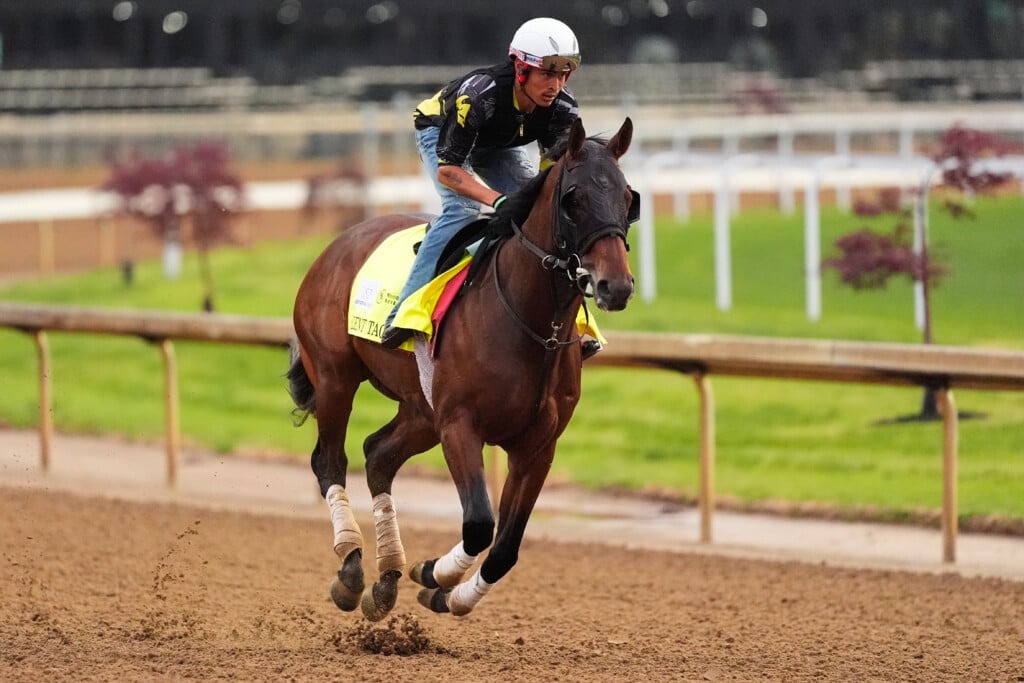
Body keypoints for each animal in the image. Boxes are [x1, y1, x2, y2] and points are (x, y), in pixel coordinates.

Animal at [287, 117, 638, 620]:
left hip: (420, 409)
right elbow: (478, 524)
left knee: (378, 454)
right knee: (330, 461)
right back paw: (352, 569)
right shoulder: (459, 425)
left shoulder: (538, 445)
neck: (531, 325)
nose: (616, 286)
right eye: (574, 200)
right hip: (336, 377)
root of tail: (336, 245)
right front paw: (434, 574)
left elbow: (506, 545)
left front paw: (444, 590)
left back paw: (387, 576)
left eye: (629, 199)